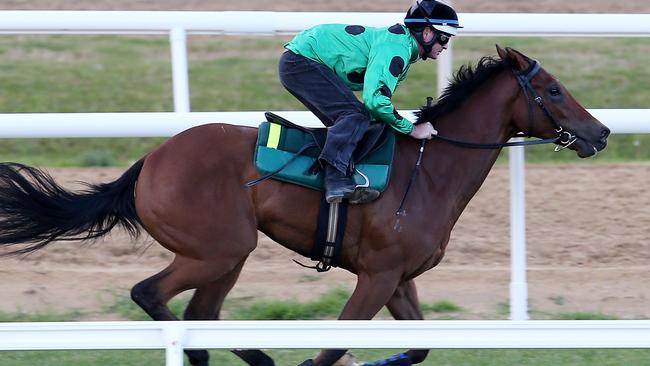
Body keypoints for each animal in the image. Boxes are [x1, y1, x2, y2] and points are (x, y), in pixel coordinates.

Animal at [0, 46, 608, 366]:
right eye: (554, 90)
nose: (600, 133)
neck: (430, 169)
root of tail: (150, 160)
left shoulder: (398, 278)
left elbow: (415, 348)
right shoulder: (376, 276)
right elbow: (332, 348)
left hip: (228, 255)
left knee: (201, 314)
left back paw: (254, 358)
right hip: (217, 250)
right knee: (151, 295)